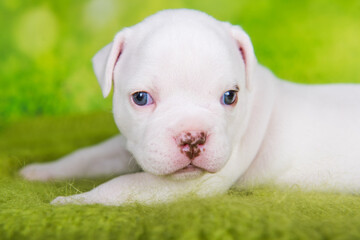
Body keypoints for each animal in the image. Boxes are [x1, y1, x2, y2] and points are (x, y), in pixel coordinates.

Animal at [19, 8, 360, 204]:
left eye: (230, 96)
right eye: (141, 98)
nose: (192, 138)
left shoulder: (189, 187)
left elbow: (120, 187)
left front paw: (74, 203)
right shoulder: (130, 143)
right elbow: (88, 155)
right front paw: (42, 171)